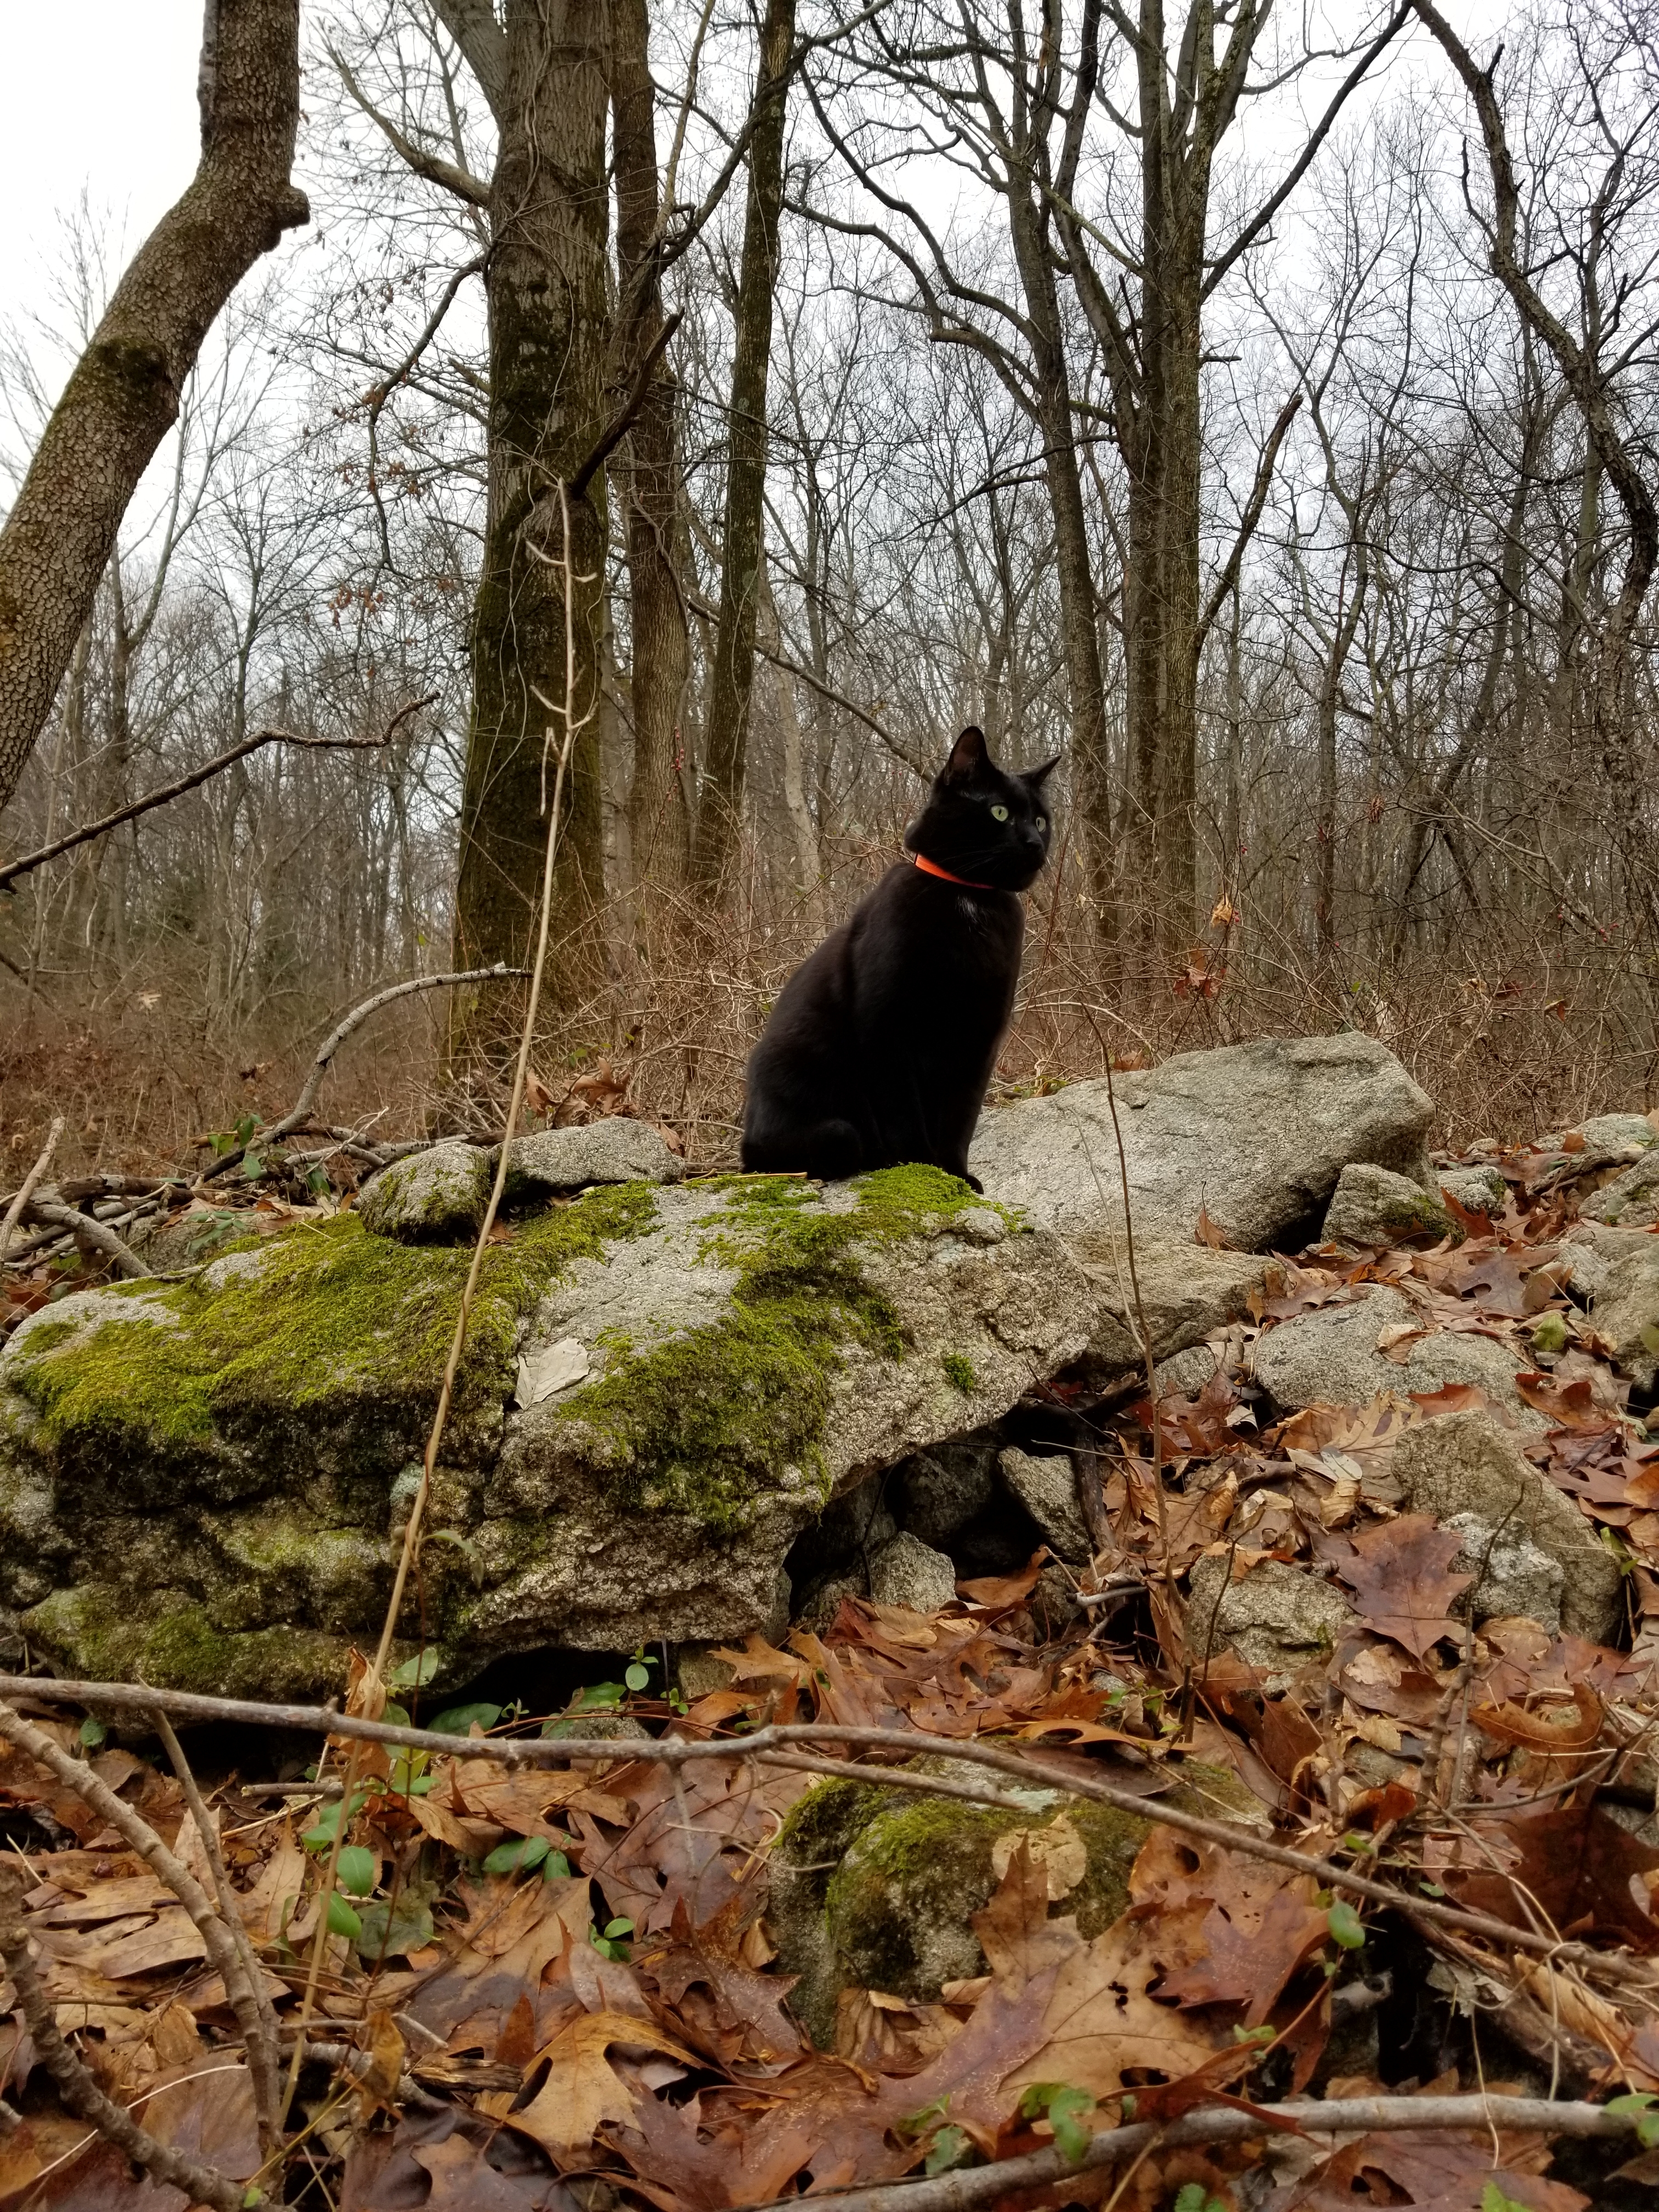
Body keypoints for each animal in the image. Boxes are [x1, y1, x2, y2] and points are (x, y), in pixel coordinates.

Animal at [743, 730, 1057, 1194]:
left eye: (1040, 821)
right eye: (999, 812)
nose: (1035, 844)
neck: (971, 899)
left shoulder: (978, 1038)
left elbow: (961, 1116)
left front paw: (956, 1175)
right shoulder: (886, 1026)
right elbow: (903, 1111)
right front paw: (920, 1168)